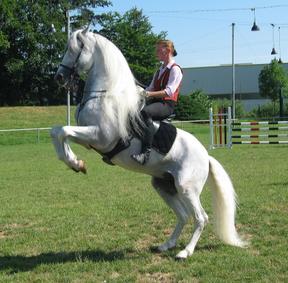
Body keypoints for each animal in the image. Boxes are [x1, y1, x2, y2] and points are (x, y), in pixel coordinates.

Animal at [50, 28, 246, 260]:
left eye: (75, 49)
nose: (59, 77)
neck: (104, 95)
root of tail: (206, 156)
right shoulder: (89, 138)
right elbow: (57, 132)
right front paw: (76, 163)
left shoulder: (99, 137)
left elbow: (63, 131)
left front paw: (75, 163)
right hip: (164, 185)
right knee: (183, 215)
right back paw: (166, 245)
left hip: (187, 187)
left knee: (200, 218)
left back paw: (185, 252)